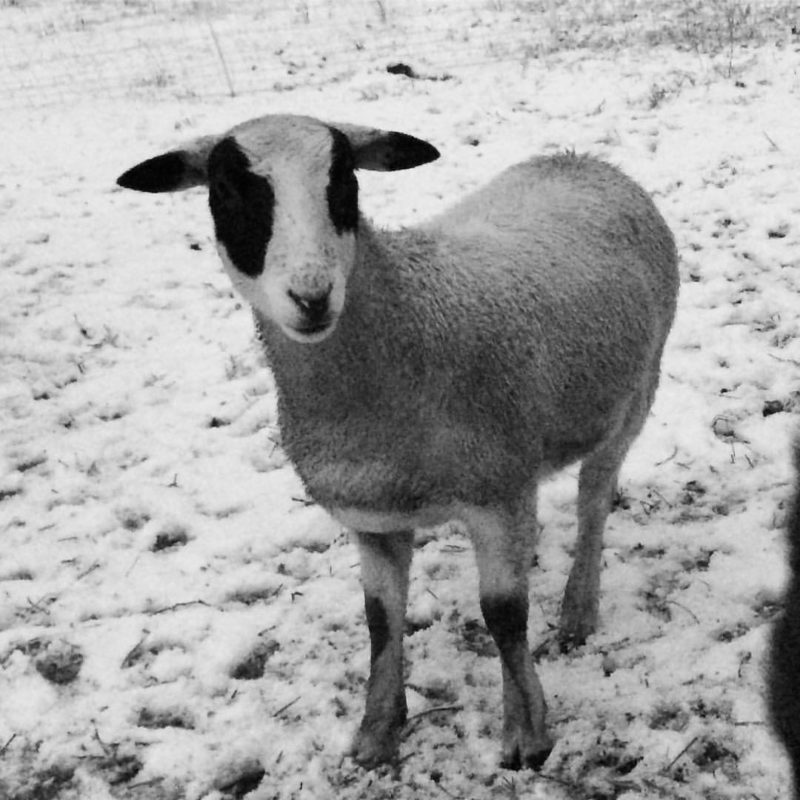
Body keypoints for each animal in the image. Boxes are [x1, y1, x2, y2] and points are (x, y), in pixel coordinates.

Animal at [117, 112, 680, 768]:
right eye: (228, 193)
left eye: (344, 185)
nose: (312, 296)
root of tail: (581, 160)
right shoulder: (373, 517)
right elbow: (380, 621)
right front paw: (377, 732)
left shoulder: (495, 495)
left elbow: (504, 616)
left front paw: (526, 734)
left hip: (636, 393)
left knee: (595, 499)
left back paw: (578, 610)